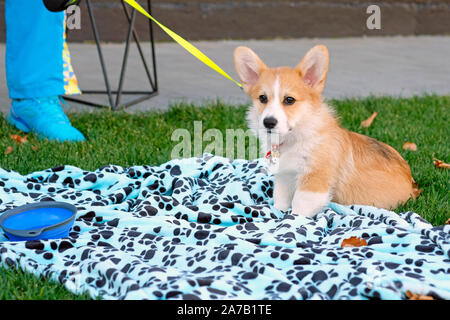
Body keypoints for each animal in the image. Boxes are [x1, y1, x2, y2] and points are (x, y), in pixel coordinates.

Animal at [236, 45, 414, 218]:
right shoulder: (285, 177)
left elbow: (299, 208)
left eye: (289, 100)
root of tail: (413, 185)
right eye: (263, 98)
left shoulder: (314, 181)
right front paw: (276, 214)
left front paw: (289, 222)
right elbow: (280, 200)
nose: (269, 122)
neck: (296, 137)